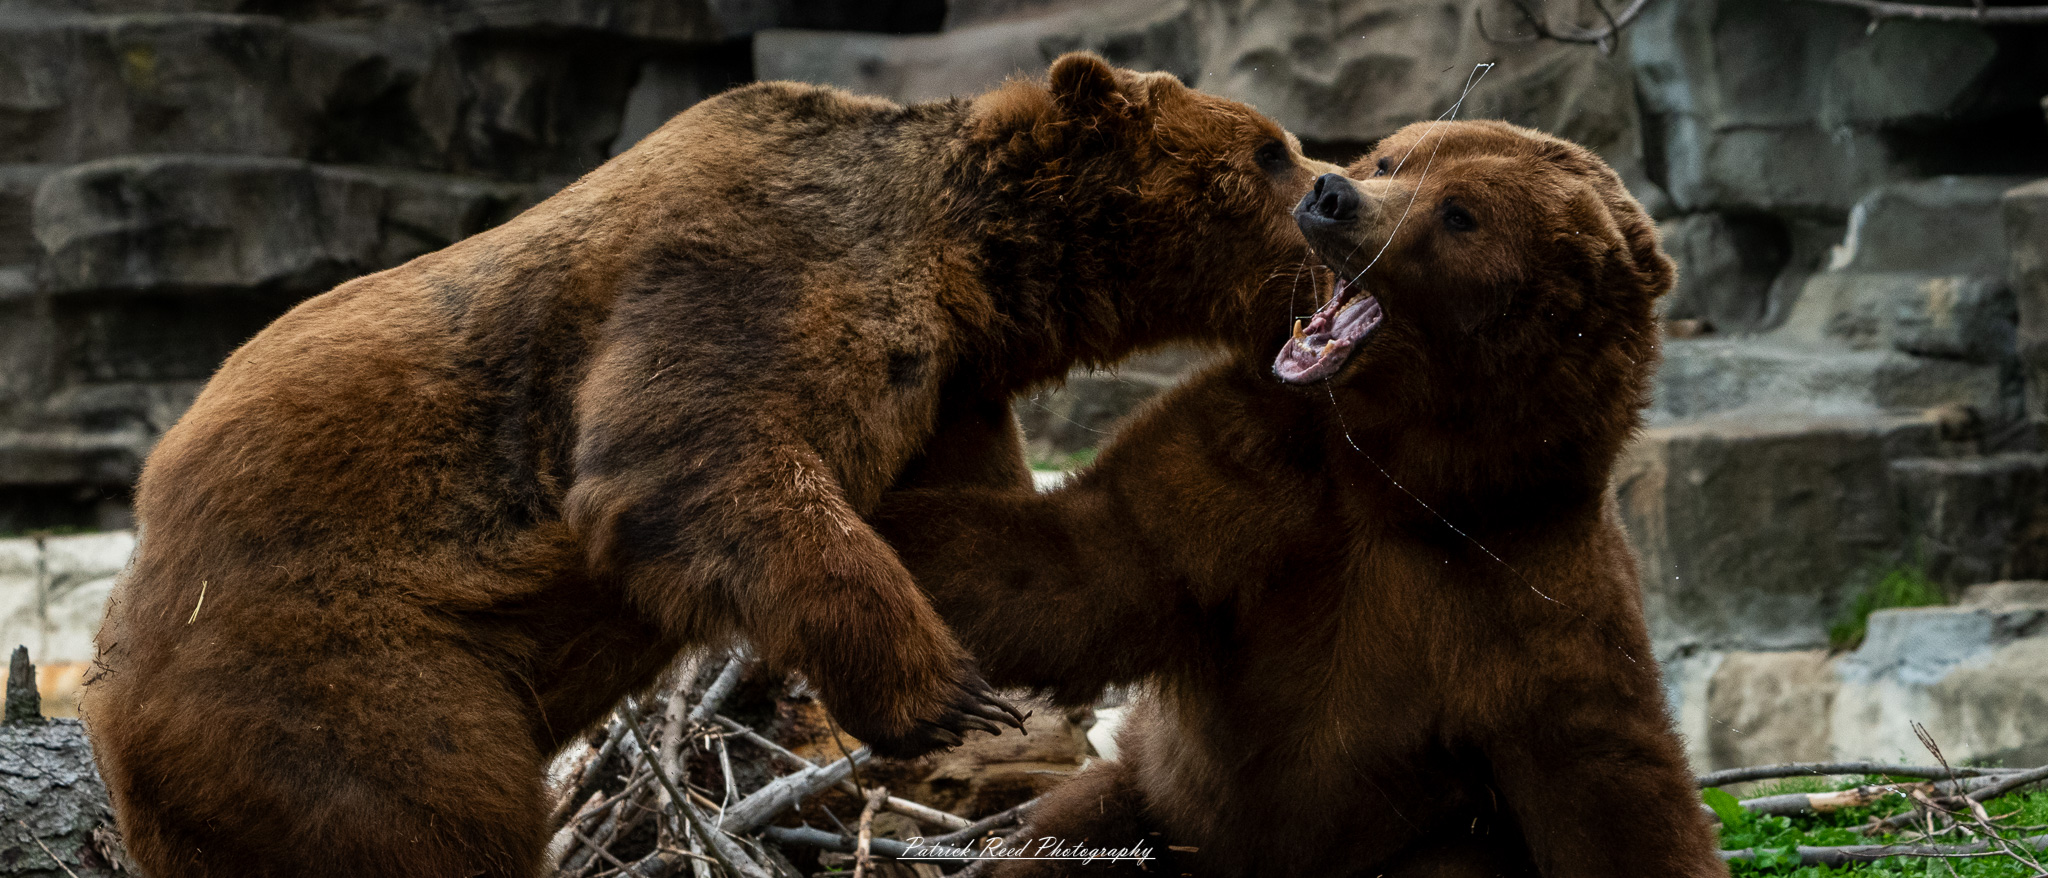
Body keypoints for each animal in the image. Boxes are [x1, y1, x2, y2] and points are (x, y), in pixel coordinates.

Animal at [83, 54, 1337, 878]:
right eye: (1269, 149)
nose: (1337, 185)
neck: (968, 263)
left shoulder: (943, 385)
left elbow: (974, 521)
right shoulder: (753, 258)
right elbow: (691, 454)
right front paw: (941, 690)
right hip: (338, 668)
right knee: (416, 814)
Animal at [871, 120, 1727, 876]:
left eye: (1460, 213)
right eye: (1391, 159)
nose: (1332, 195)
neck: (1400, 481)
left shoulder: (1532, 585)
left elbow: (1616, 798)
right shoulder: (1252, 476)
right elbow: (1074, 567)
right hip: (1155, 810)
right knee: (1073, 836)